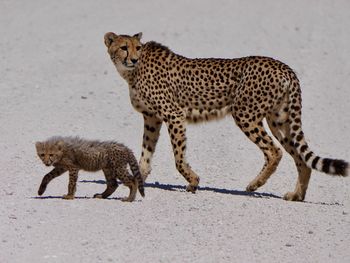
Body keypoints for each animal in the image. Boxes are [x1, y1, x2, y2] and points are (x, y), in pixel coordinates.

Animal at [104, 33, 348, 202]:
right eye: (124, 47)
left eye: (137, 48)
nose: (134, 59)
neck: (131, 72)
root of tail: (283, 66)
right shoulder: (152, 118)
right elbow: (145, 154)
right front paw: (138, 181)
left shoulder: (174, 115)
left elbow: (179, 158)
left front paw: (193, 182)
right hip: (279, 120)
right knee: (300, 158)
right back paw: (296, 195)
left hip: (245, 114)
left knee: (274, 151)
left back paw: (254, 185)